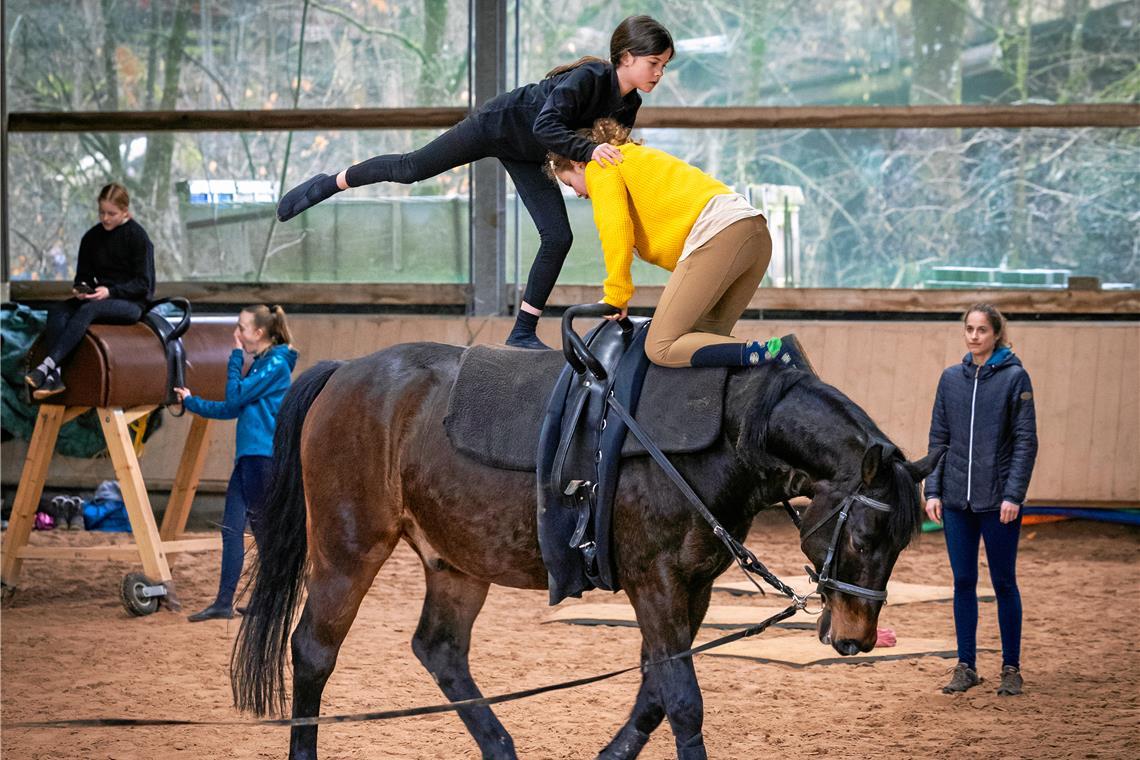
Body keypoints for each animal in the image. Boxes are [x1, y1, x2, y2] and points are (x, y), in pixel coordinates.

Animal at [231, 346, 943, 760]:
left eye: (898, 544)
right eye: (864, 537)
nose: (856, 639)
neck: (728, 436)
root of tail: (344, 373)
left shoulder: (694, 586)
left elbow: (656, 689)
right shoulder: (654, 581)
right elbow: (682, 699)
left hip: (455, 560)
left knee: (439, 650)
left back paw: (501, 748)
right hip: (349, 547)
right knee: (313, 650)